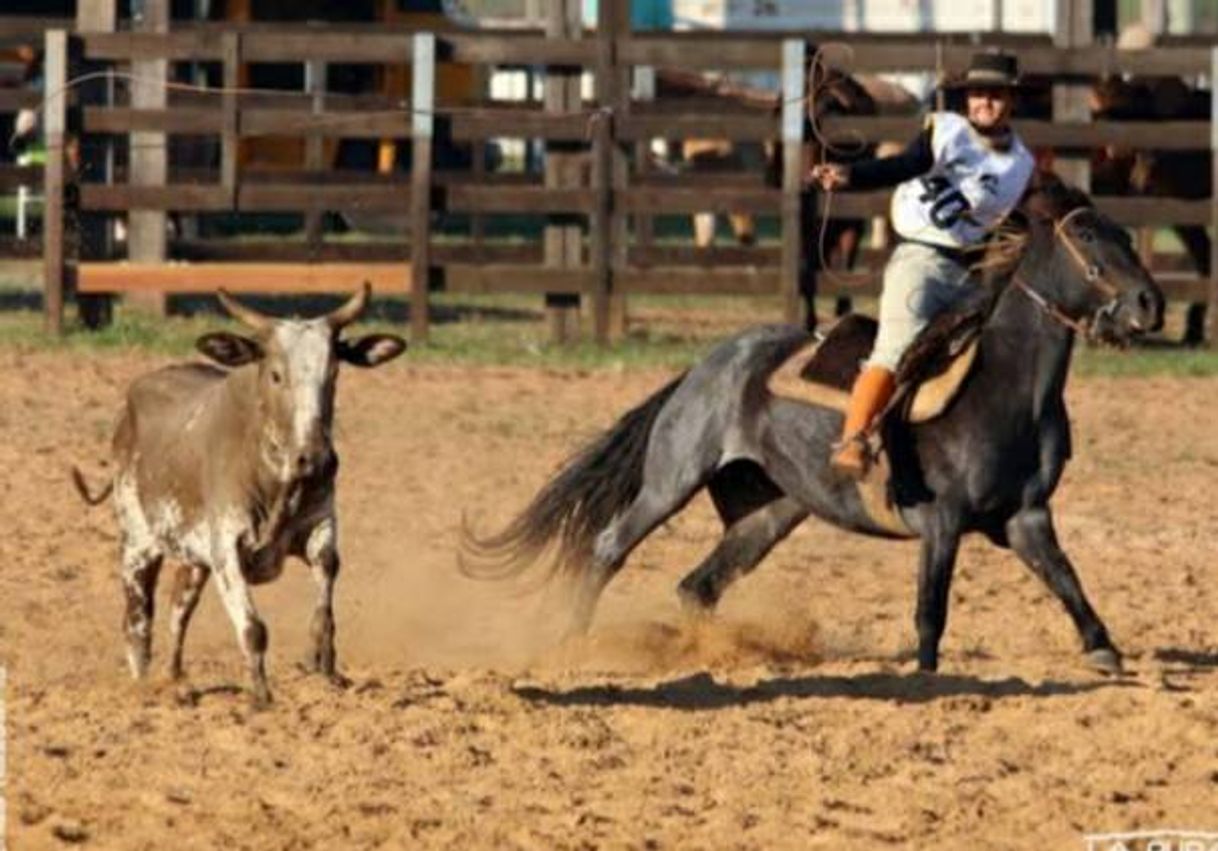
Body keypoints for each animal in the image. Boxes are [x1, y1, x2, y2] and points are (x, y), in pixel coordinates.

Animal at [465, 182, 1159, 676]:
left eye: (1125, 232)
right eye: (1089, 235)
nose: (1150, 304)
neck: (1008, 390)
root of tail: (709, 363)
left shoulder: (1026, 517)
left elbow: (1067, 580)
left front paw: (1103, 649)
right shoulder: (943, 521)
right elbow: (930, 612)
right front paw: (927, 676)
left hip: (769, 510)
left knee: (699, 585)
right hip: (673, 479)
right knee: (610, 546)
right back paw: (571, 643)